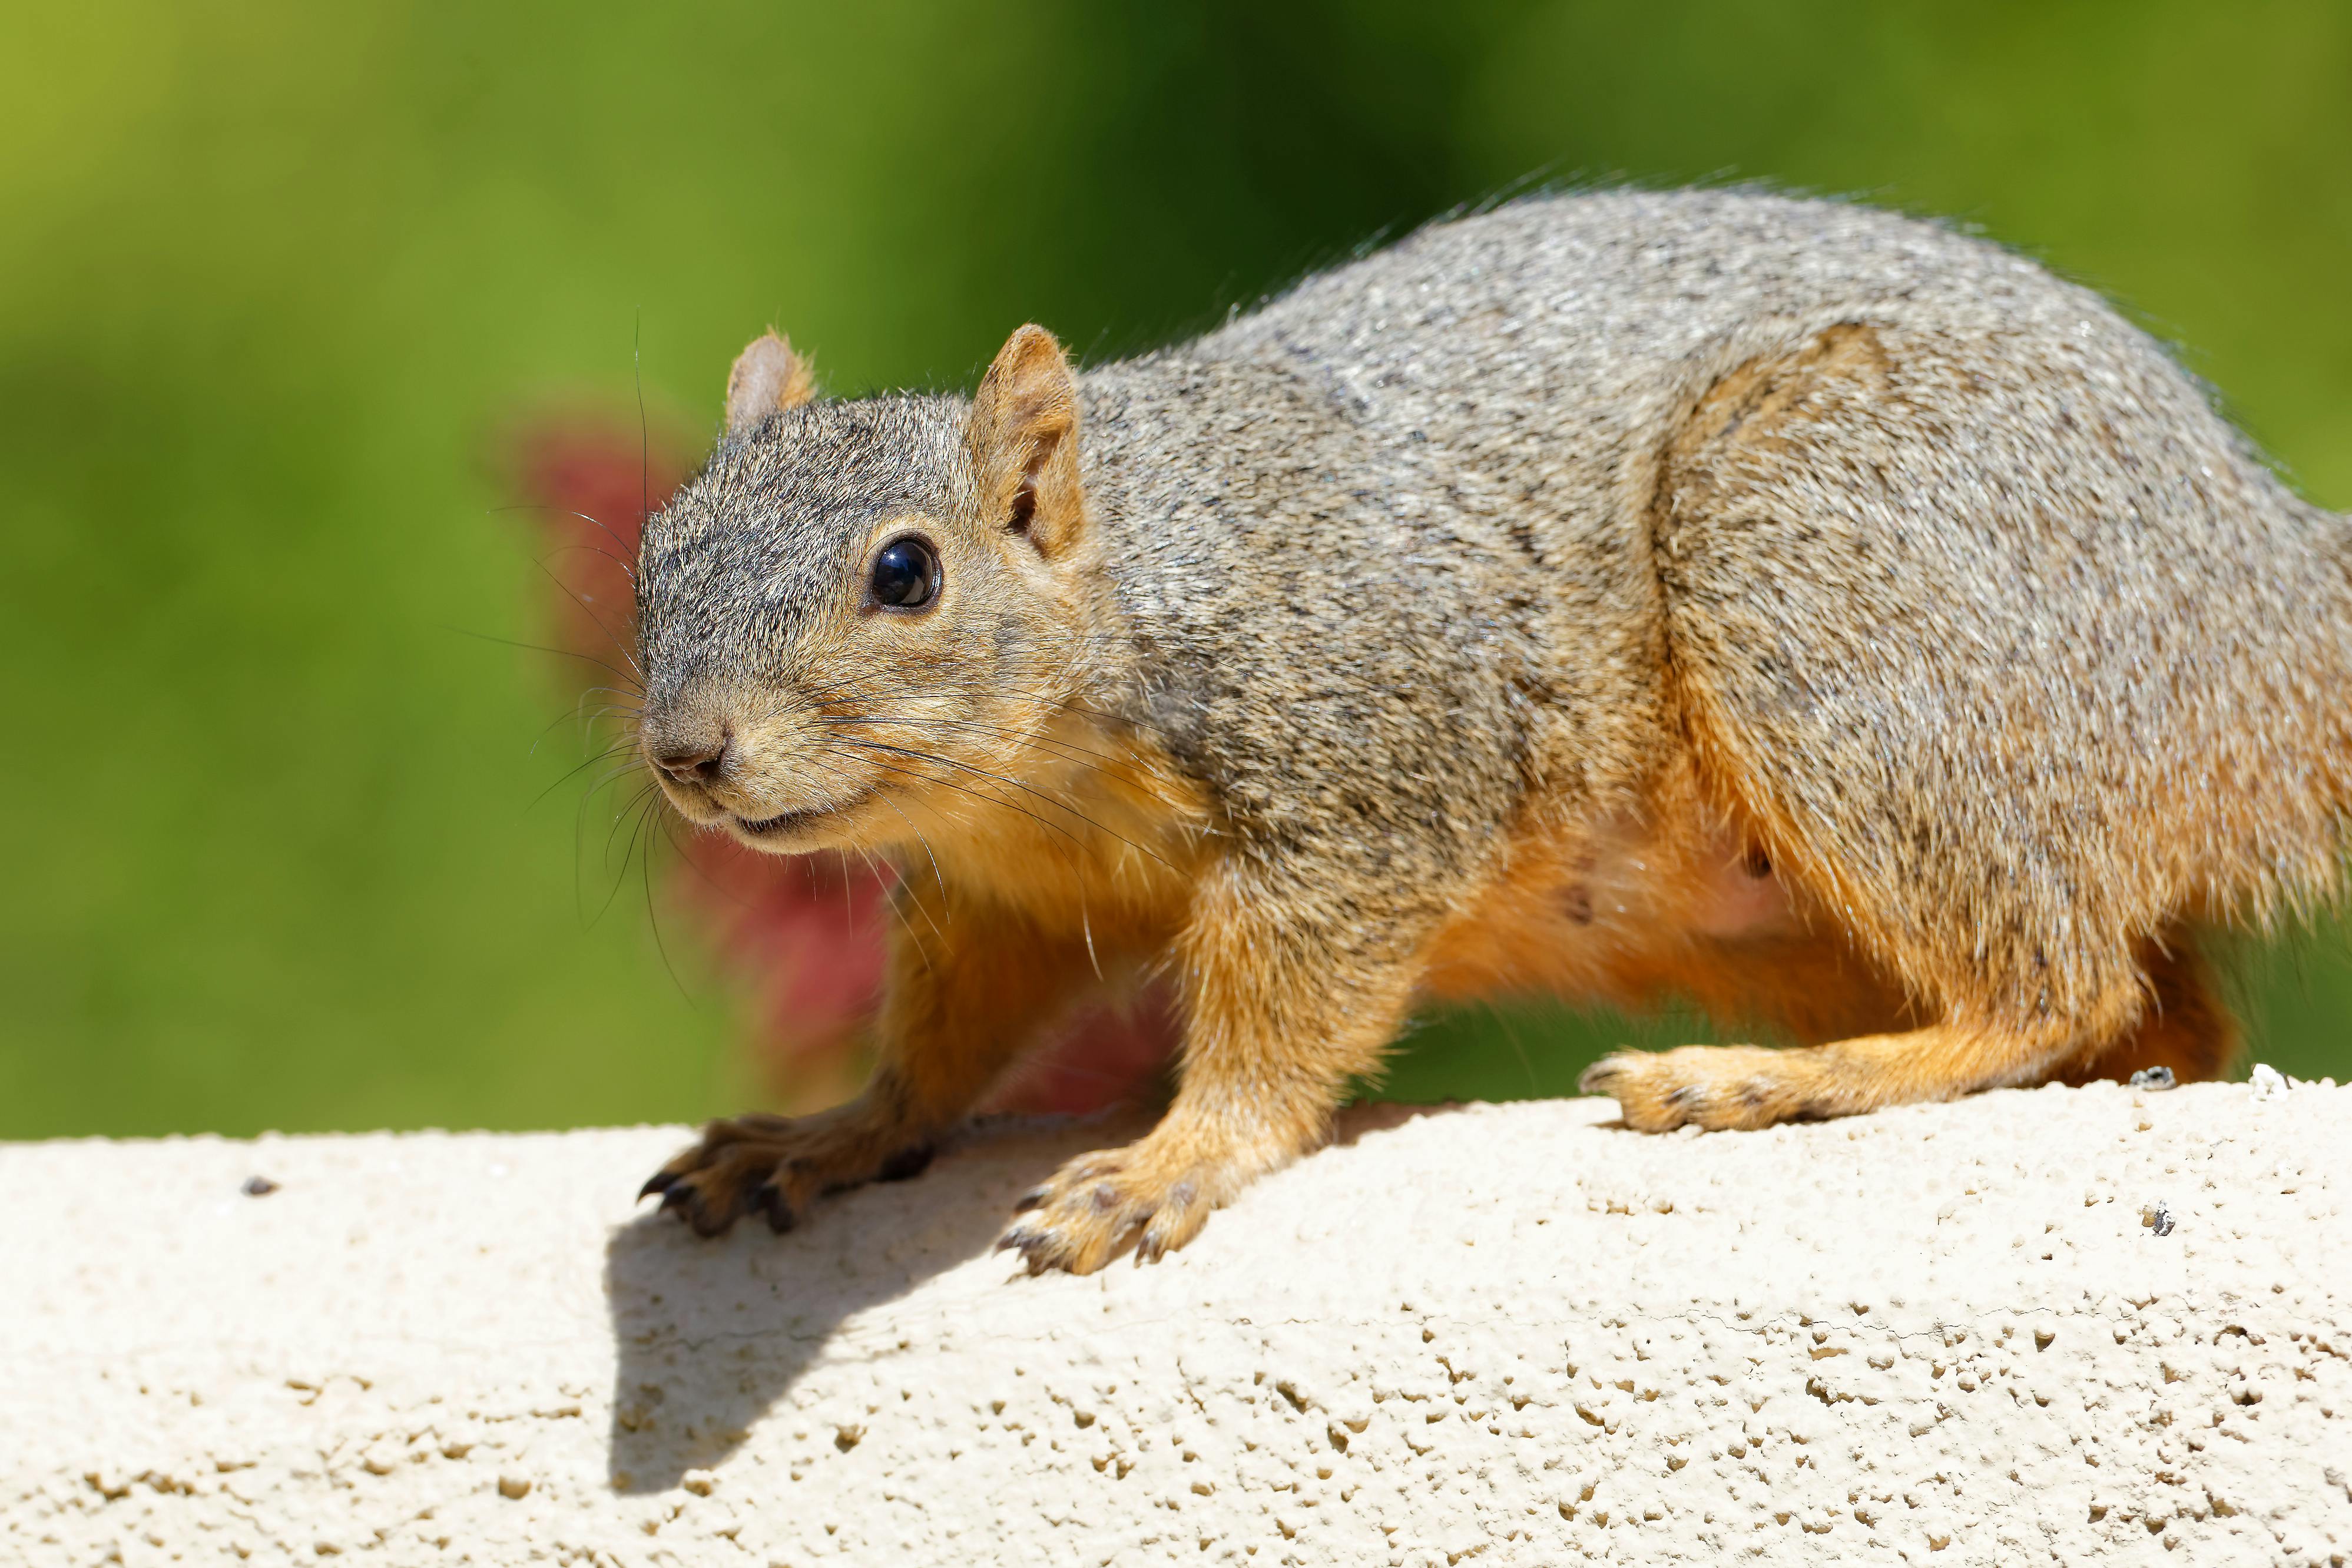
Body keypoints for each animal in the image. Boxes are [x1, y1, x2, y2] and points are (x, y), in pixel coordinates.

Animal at [630, 187, 2352, 1278]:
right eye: (655, 544)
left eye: (905, 571)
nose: (685, 753)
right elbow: (945, 1033)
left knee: (2045, 983)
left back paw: (1768, 1081)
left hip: (1819, 565)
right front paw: (831, 1131)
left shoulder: (1369, 785)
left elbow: (1282, 1014)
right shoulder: (1002, 890)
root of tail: (2264, 602)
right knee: (2157, 1016)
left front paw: (1167, 1162)